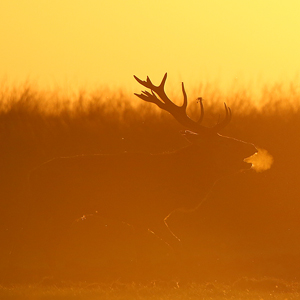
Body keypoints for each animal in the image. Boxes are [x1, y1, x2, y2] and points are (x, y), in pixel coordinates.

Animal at [26, 73, 255, 264]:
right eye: (222, 143)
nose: (251, 146)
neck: (178, 181)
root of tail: (33, 174)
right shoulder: (149, 213)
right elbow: (177, 246)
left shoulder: (140, 220)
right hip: (57, 210)